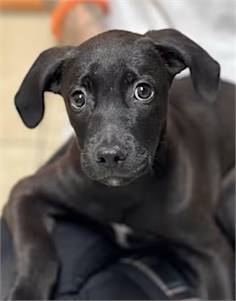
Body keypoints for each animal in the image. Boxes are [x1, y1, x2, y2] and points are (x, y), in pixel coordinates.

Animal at [2, 29, 235, 298]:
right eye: (78, 98)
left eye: (143, 91)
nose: (110, 156)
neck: (123, 192)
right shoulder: (26, 191)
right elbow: (36, 247)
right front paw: (26, 292)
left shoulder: (212, 250)